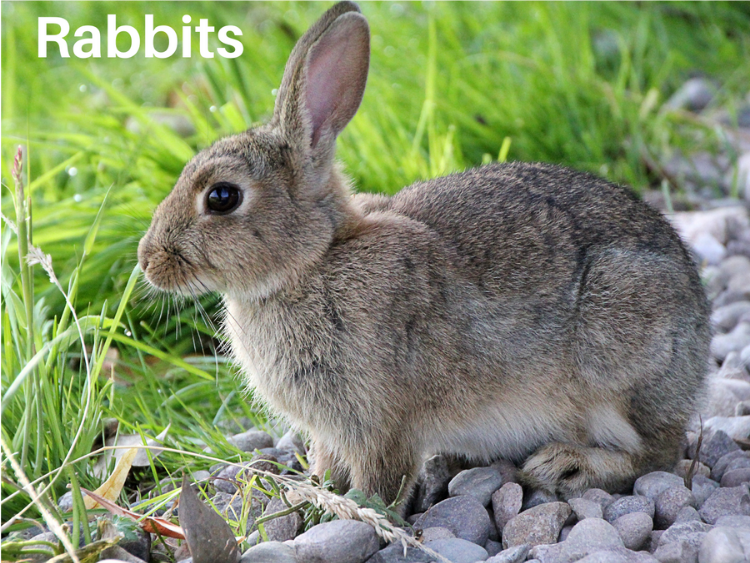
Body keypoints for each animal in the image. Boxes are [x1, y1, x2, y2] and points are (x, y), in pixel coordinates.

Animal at [138, 1, 710, 506]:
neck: (314, 261)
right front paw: (314, 492)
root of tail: (700, 333)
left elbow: (381, 476)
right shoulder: (332, 428)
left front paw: (354, 510)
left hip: (621, 356)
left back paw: (566, 465)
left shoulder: (380, 419)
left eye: (222, 197)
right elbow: (328, 461)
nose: (148, 260)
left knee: (657, 453)